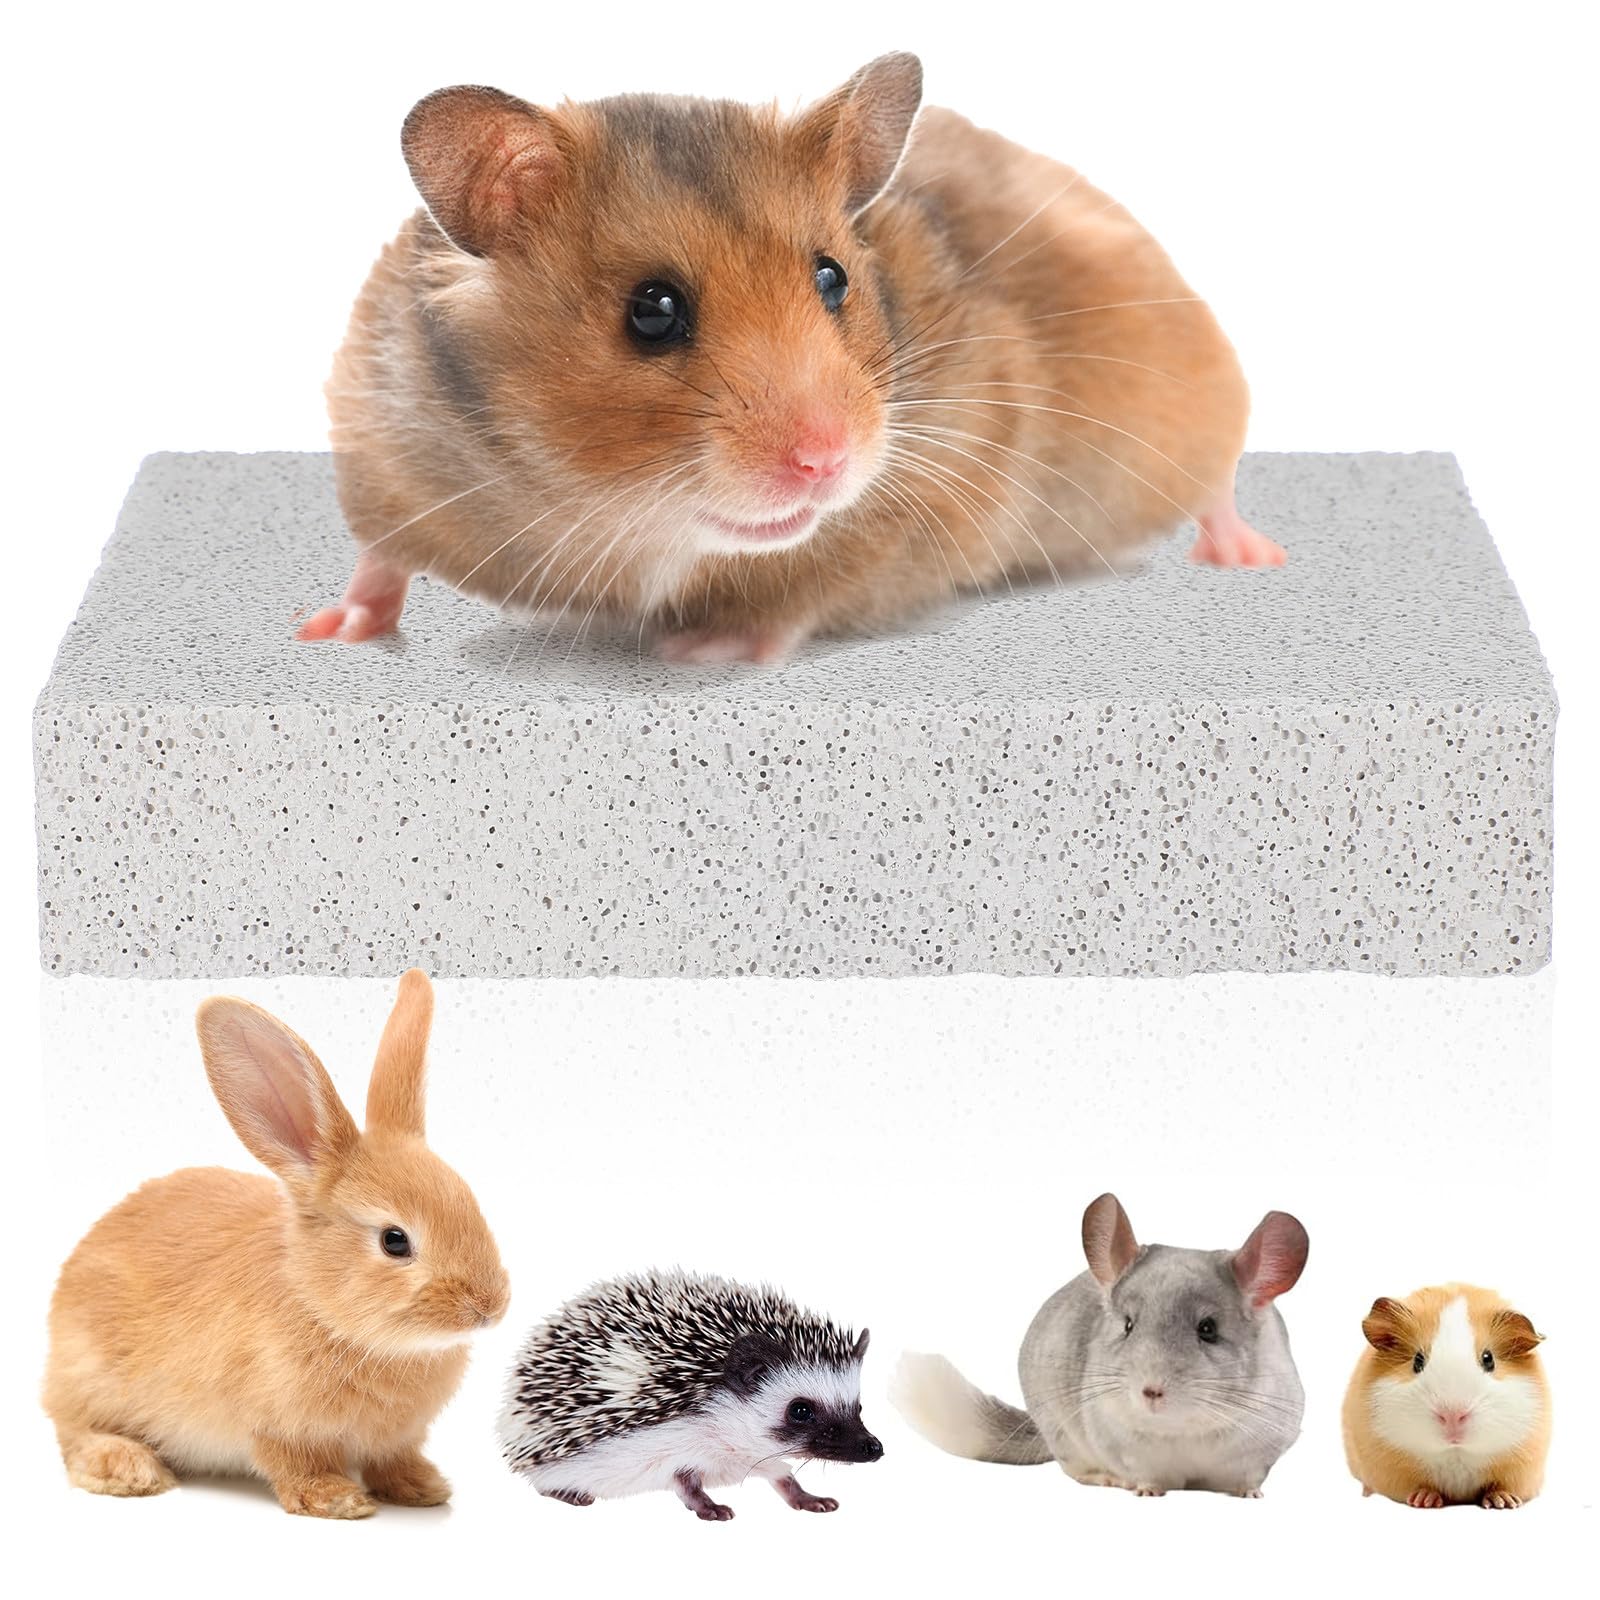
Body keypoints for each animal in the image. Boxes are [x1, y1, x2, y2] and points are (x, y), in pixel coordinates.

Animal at [43, 970, 510, 1518]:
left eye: (470, 1202)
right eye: (394, 1241)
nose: (489, 1306)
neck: (323, 1306)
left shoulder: (396, 1438)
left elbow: (393, 1459)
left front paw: (422, 1488)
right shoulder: (275, 1424)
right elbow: (293, 1462)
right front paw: (336, 1499)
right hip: (88, 1377)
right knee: (73, 1432)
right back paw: (127, 1467)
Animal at [302, 52, 1282, 661]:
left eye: (832, 276)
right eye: (651, 311)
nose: (826, 462)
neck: (616, 514)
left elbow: (798, 593)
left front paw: (702, 650)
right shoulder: (383, 449)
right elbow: (378, 559)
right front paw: (326, 630)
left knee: (1218, 485)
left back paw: (1251, 556)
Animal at [893, 1193, 1309, 1496]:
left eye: (1208, 1328)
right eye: (1127, 1325)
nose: (1151, 1391)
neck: (1182, 1430)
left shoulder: (1262, 1450)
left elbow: (1248, 1479)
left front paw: (1252, 1495)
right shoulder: (1119, 1445)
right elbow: (1144, 1475)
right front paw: (1145, 1491)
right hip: (1061, 1433)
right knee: (1074, 1470)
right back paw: (1108, 1480)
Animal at [1342, 1284, 1550, 1509]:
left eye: (1489, 1359)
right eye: (1417, 1361)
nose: (1452, 1416)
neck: (1455, 1453)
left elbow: (1501, 1486)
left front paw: (1503, 1502)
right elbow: (1417, 1487)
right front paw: (1425, 1500)